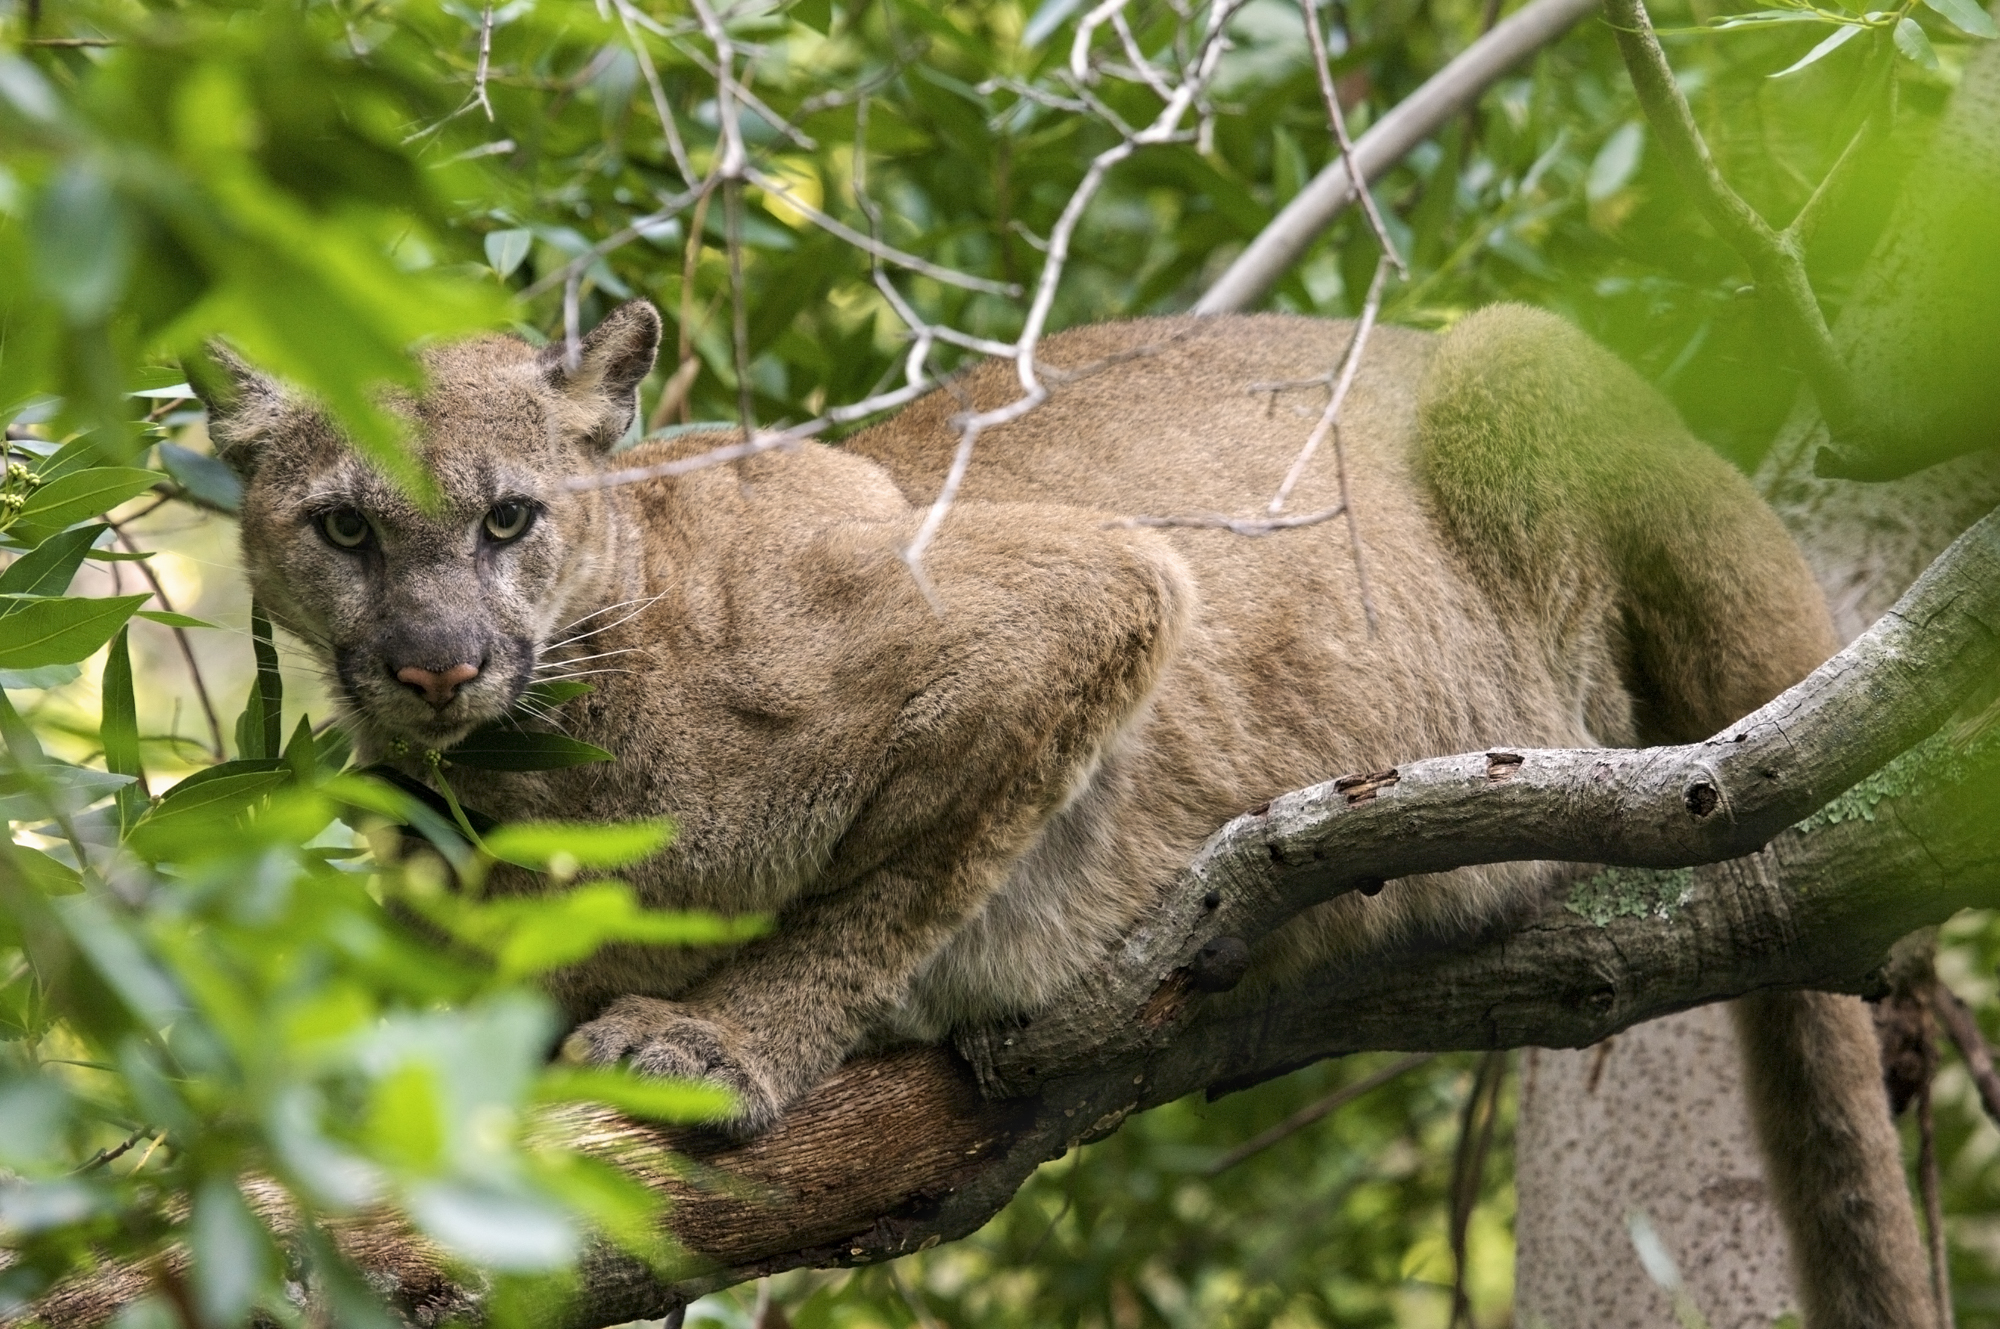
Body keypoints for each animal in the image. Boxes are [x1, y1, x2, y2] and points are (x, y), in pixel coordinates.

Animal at [211, 296, 1928, 1320]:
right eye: (345, 529)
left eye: (510, 518)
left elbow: (900, 884)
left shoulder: (1081, 592)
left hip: (1539, 371)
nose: (434, 668)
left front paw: (725, 1043)